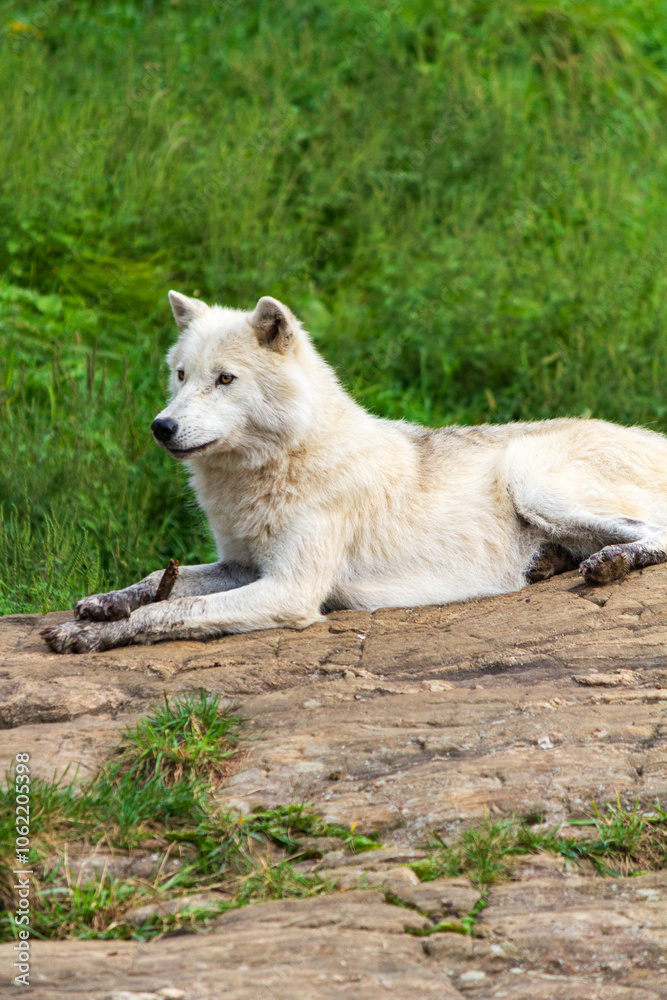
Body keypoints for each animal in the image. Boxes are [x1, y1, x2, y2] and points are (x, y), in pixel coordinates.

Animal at [43, 291, 667, 653]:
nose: (161, 427)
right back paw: (551, 563)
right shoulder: (241, 565)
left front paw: (89, 633)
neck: (276, 469)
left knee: (652, 534)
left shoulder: (290, 590)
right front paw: (103, 603)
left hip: (532, 480)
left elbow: (172, 610)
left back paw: (610, 563)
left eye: (224, 379)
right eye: (179, 374)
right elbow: (156, 580)